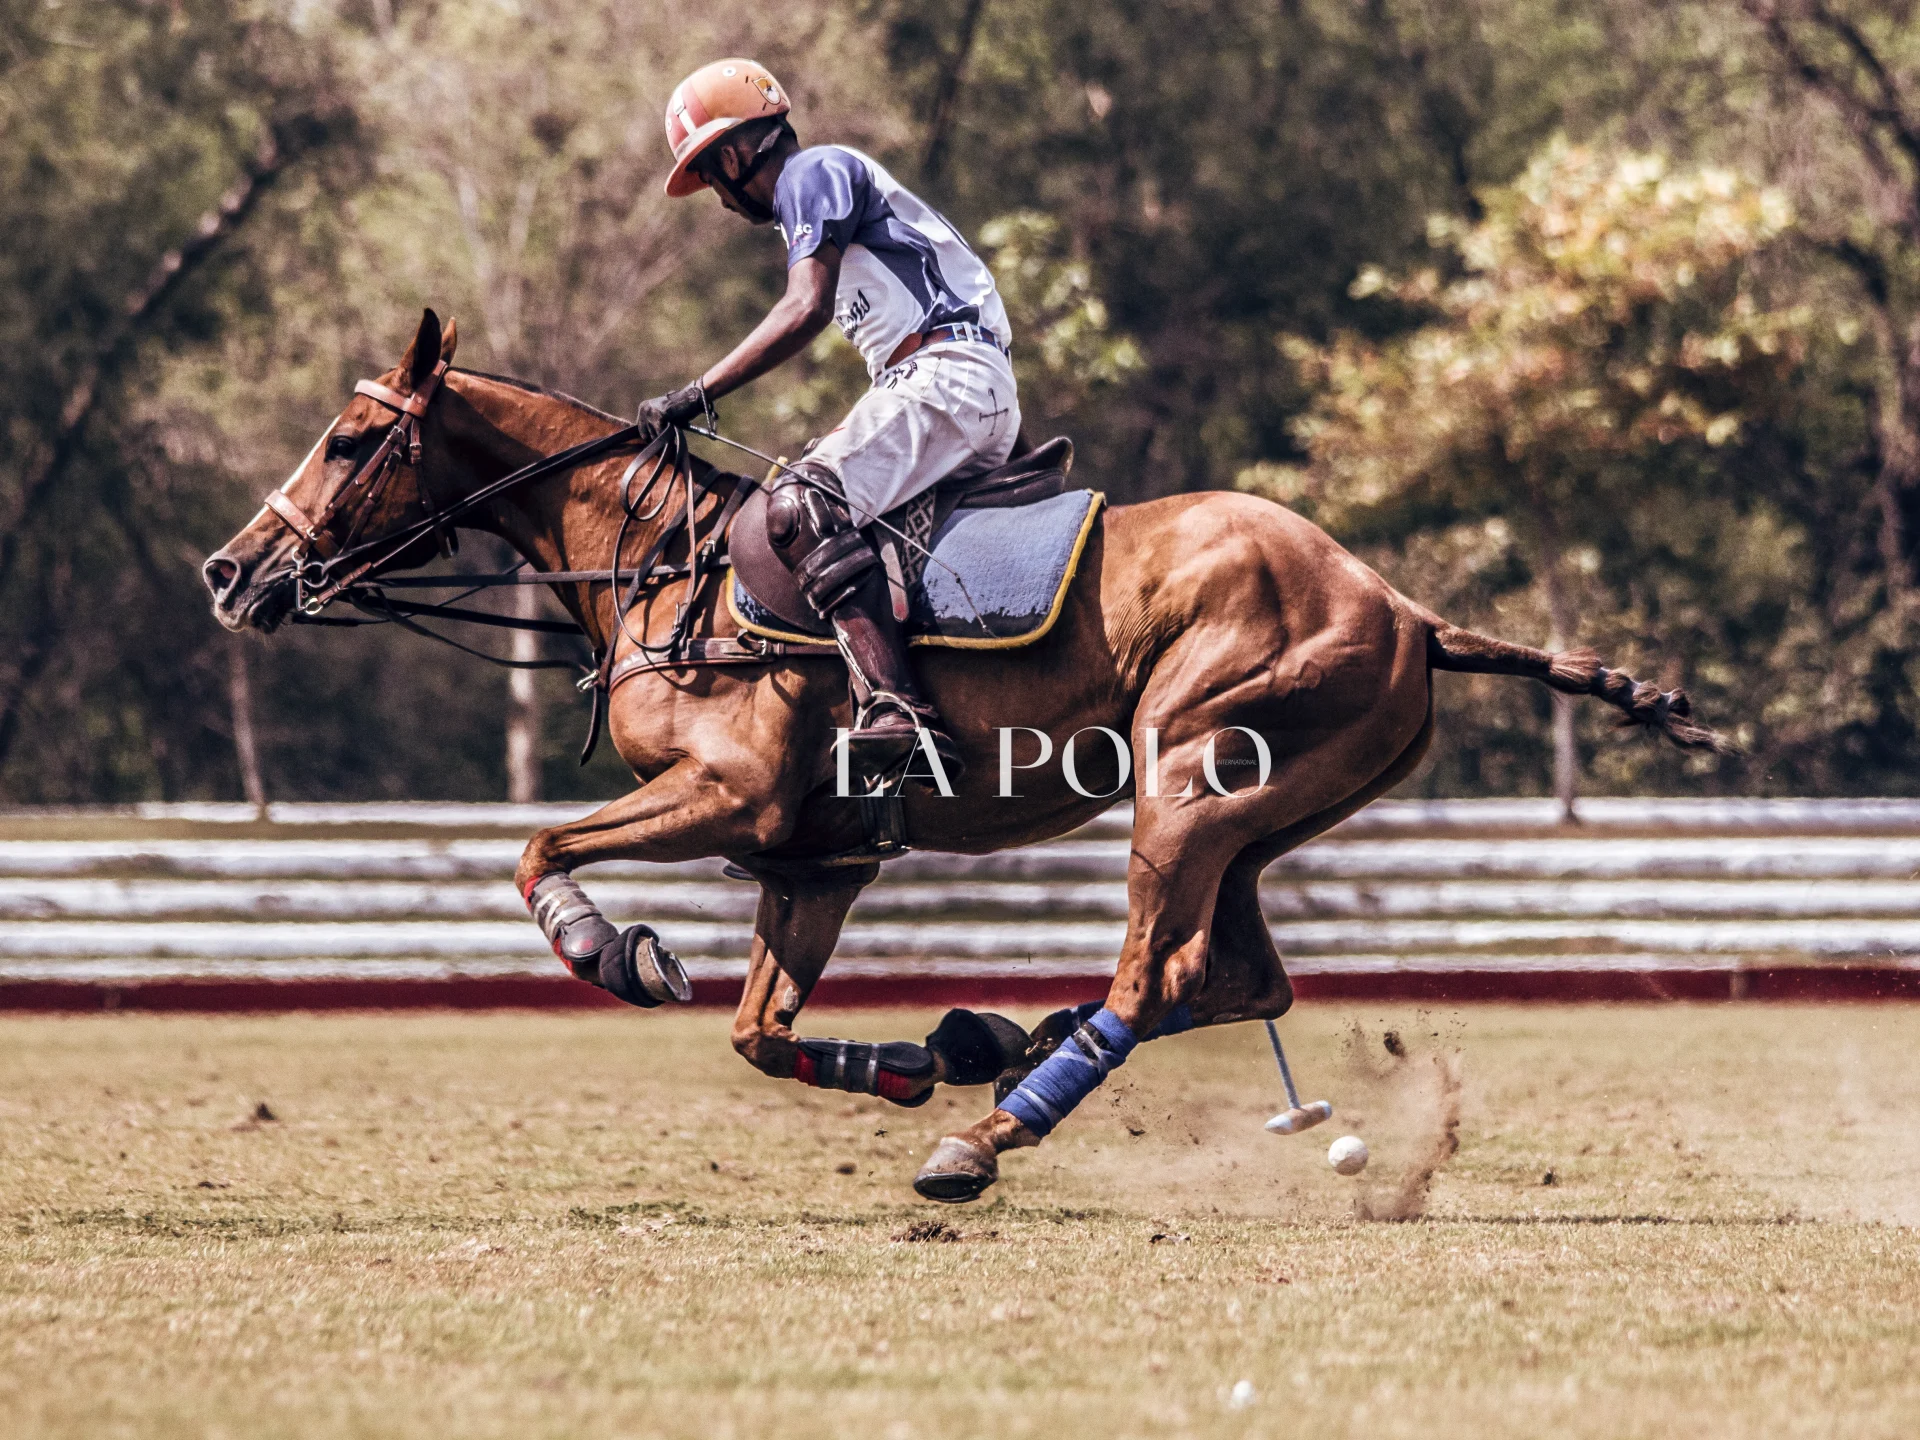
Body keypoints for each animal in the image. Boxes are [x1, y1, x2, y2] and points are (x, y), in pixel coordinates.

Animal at [206, 314, 1728, 1205]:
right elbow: (760, 1034)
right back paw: (1004, 1047)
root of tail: (1408, 609)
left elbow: (540, 850)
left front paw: (611, 949)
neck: (655, 562)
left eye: (352, 438)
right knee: (1237, 976)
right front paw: (911, 1058)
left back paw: (986, 1137)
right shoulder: (814, 858)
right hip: (1256, 814)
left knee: (1160, 974)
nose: (233, 572)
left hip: (1186, 775)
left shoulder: (728, 794)